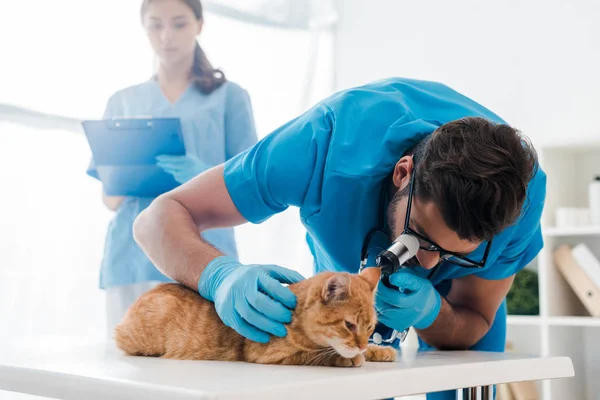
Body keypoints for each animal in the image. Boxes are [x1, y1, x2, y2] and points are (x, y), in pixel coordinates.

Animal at [115, 268, 396, 368]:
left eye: (370, 327)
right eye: (349, 325)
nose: (362, 344)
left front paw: (378, 351)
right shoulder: (269, 355)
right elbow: (315, 355)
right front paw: (348, 358)